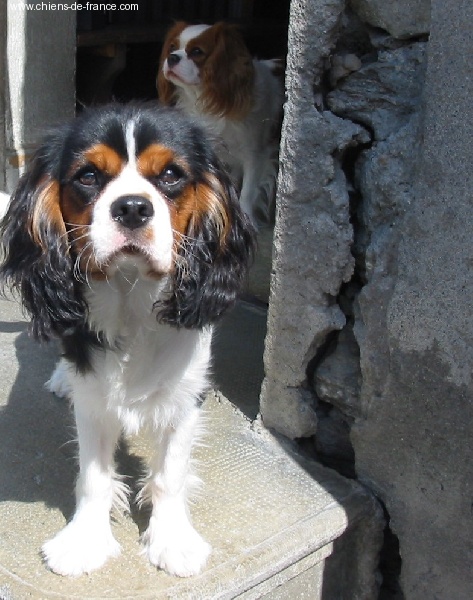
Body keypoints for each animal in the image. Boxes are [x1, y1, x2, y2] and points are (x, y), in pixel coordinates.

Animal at [0, 103, 255, 577]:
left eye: (171, 174)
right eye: (88, 176)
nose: (133, 207)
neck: (131, 296)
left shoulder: (185, 396)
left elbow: (170, 474)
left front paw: (172, 541)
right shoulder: (93, 397)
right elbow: (94, 476)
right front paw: (84, 540)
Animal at [158, 21, 284, 227]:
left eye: (197, 51)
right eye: (172, 47)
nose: (172, 57)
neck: (206, 98)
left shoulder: (256, 155)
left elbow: (248, 192)